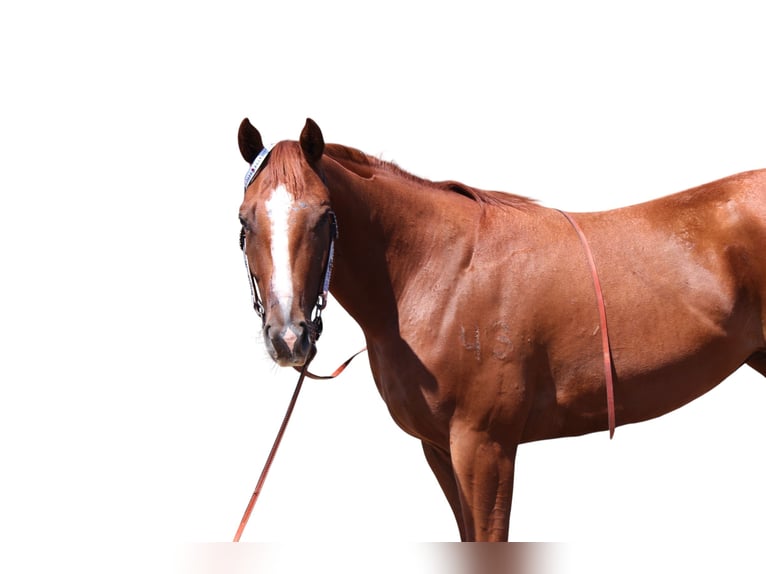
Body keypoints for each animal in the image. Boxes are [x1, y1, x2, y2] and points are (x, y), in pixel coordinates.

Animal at [236, 117, 766, 541]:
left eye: (325, 217)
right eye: (245, 221)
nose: (288, 337)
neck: (438, 270)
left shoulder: (484, 447)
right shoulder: (439, 449)